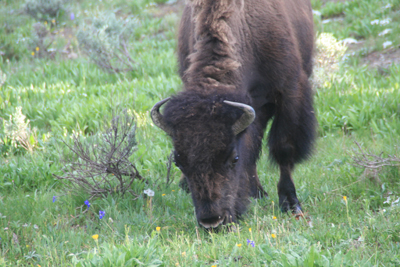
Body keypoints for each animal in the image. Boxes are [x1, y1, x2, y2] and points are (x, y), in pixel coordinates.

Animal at [150, 0, 316, 230]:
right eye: (178, 162)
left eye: (233, 158)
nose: (212, 222)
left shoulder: (289, 93)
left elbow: (284, 148)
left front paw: (291, 204)